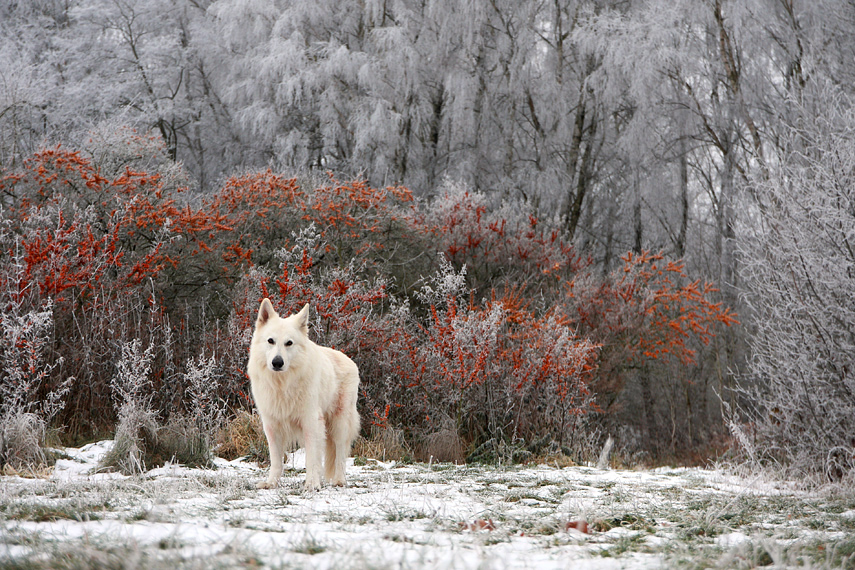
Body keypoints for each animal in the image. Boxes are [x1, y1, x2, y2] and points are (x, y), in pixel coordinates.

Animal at [246, 298, 360, 488]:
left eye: (289, 343)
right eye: (270, 341)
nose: (277, 362)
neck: (282, 384)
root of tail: (349, 360)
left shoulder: (311, 422)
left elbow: (312, 458)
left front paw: (312, 484)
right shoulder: (271, 425)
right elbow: (275, 460)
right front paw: (271, 483)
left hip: (340, 423)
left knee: (341, 452)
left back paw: (339, 480)